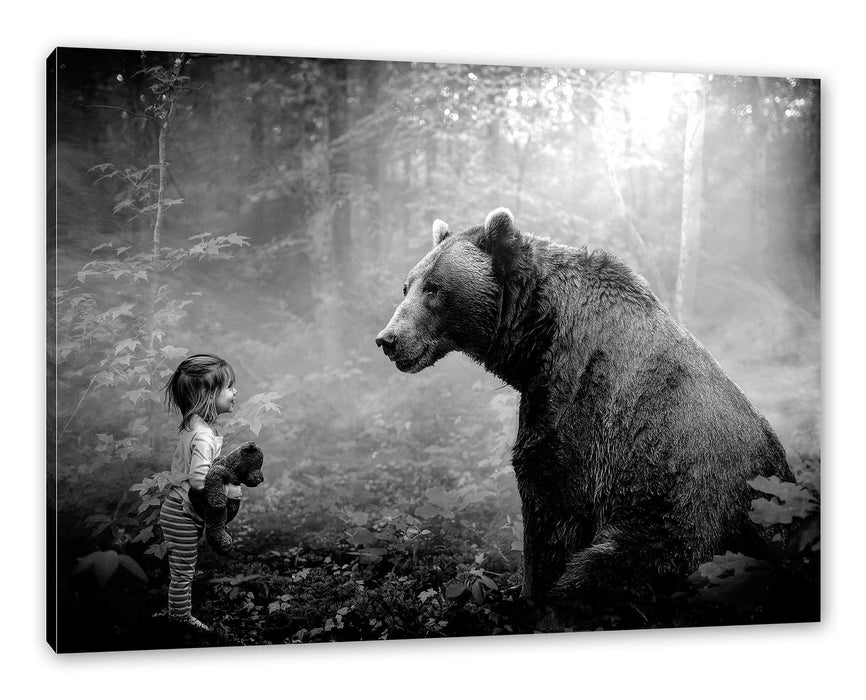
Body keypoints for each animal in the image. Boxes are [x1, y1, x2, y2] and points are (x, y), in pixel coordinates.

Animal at [375, 207, 793, 605]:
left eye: (433, 288)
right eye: (406, 286)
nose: (387, 339)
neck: (537, 336)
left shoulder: (581, 404)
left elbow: (551, 503)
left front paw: (530, 593)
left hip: (685, 520)